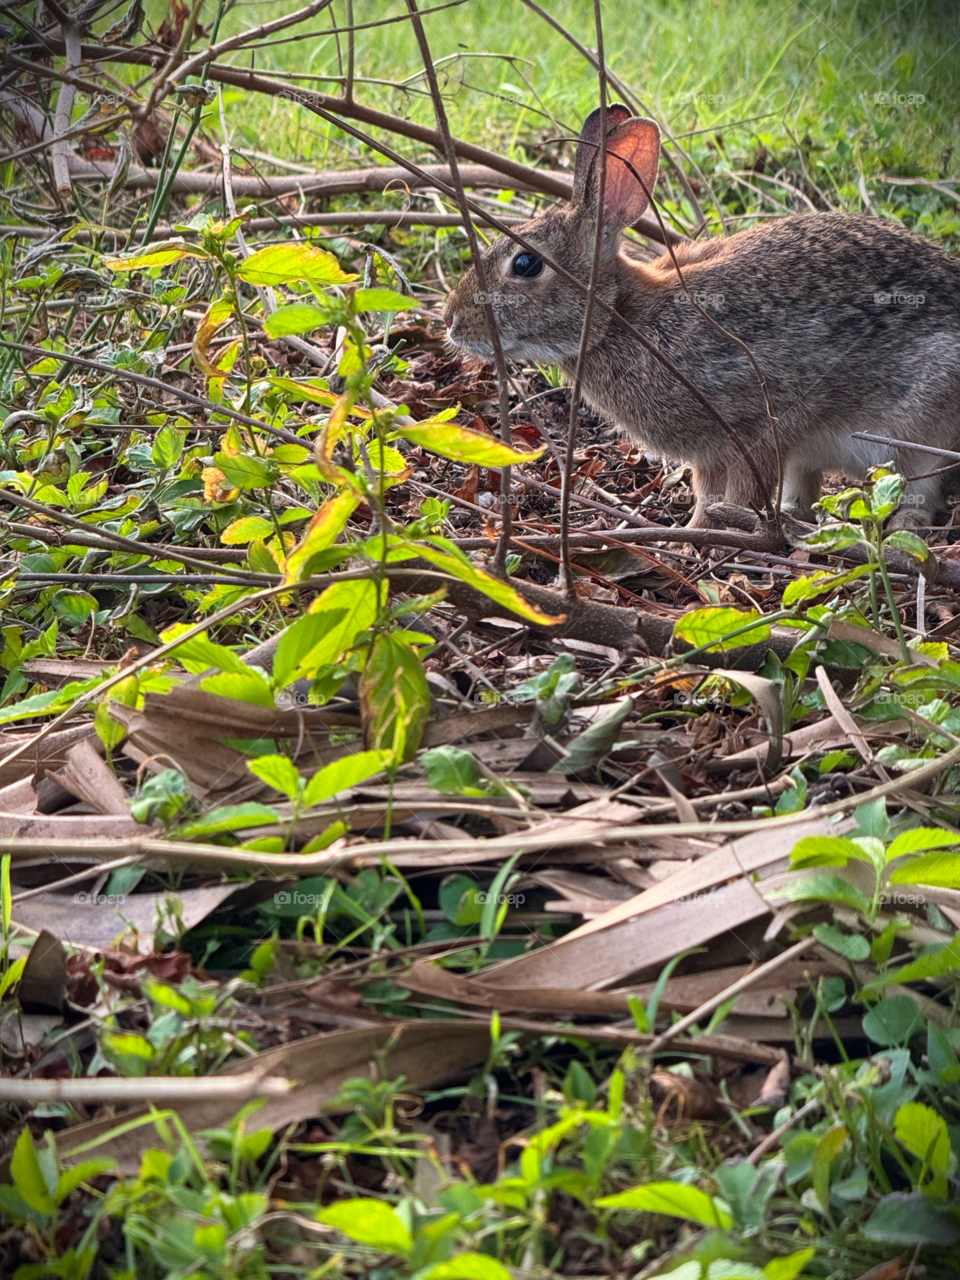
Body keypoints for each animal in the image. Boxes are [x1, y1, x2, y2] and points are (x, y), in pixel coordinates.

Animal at [442, 106, 960, 529]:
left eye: (526, 264)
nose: (450, 320)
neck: (619, 318)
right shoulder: (709, 455)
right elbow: (707, 494)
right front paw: (694, 530)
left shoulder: (754, 428)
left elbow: (738, 494)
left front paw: (702, 535)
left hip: (923, 420)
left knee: (923, 488)